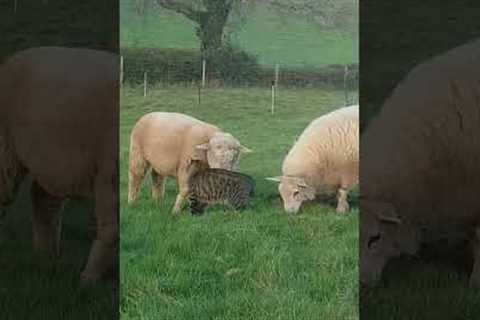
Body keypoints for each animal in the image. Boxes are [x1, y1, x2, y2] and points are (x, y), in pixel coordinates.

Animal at [0, 46, 119, 284]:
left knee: (42, 197)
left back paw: (45, 256)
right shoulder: (109, 173)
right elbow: (111, 228)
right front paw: (88, 280)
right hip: (6, 143)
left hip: (56, 163)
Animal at [127, 112, 255, 212]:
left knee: (157, 177)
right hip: (137, 153)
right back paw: (132, 201)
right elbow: (185, 190)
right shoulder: (186, 166)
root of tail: (147, 115)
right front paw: (176, 211)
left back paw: (157, 200)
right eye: (213, 152)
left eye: (234, 156)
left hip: (158, 161)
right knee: (136, 176)